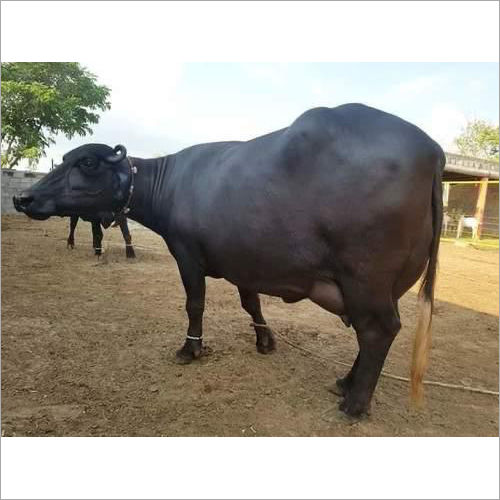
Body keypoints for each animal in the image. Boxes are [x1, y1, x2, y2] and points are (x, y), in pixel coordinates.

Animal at [11, 103, 444, 416]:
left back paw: (354, 403)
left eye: (87, 163)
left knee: (379, 330)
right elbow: (250, 303)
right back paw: (346, 382)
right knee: (370, 332)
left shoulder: (186, 253)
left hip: (365, 277)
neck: (169, 182)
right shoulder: (243, 262)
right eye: (66, 158)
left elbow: (195, 303)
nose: (23, 198)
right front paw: (265, 341)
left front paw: (190, 349)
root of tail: (432, 150)